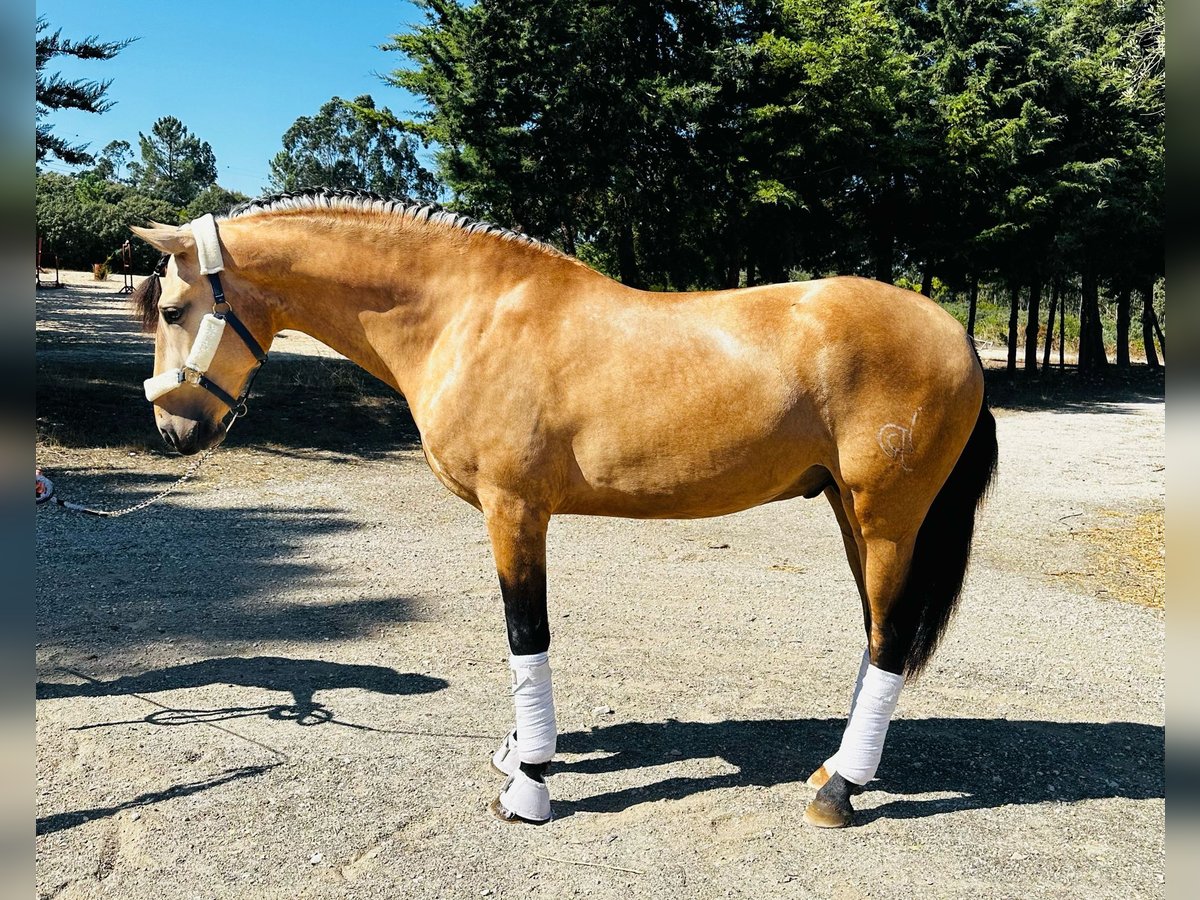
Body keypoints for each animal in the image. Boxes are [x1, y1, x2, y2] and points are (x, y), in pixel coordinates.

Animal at [131, 190, 998, 830]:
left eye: (171, 309)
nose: (174, 430)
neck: (468, 314)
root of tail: (957, 337)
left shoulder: (514, 511)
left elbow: (527, 635)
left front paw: (530, 782)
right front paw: (519, 749)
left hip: (887, 520)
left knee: (889, 641)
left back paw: (839, 791)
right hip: (854, 515)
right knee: (875, 634)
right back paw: (834, 769)